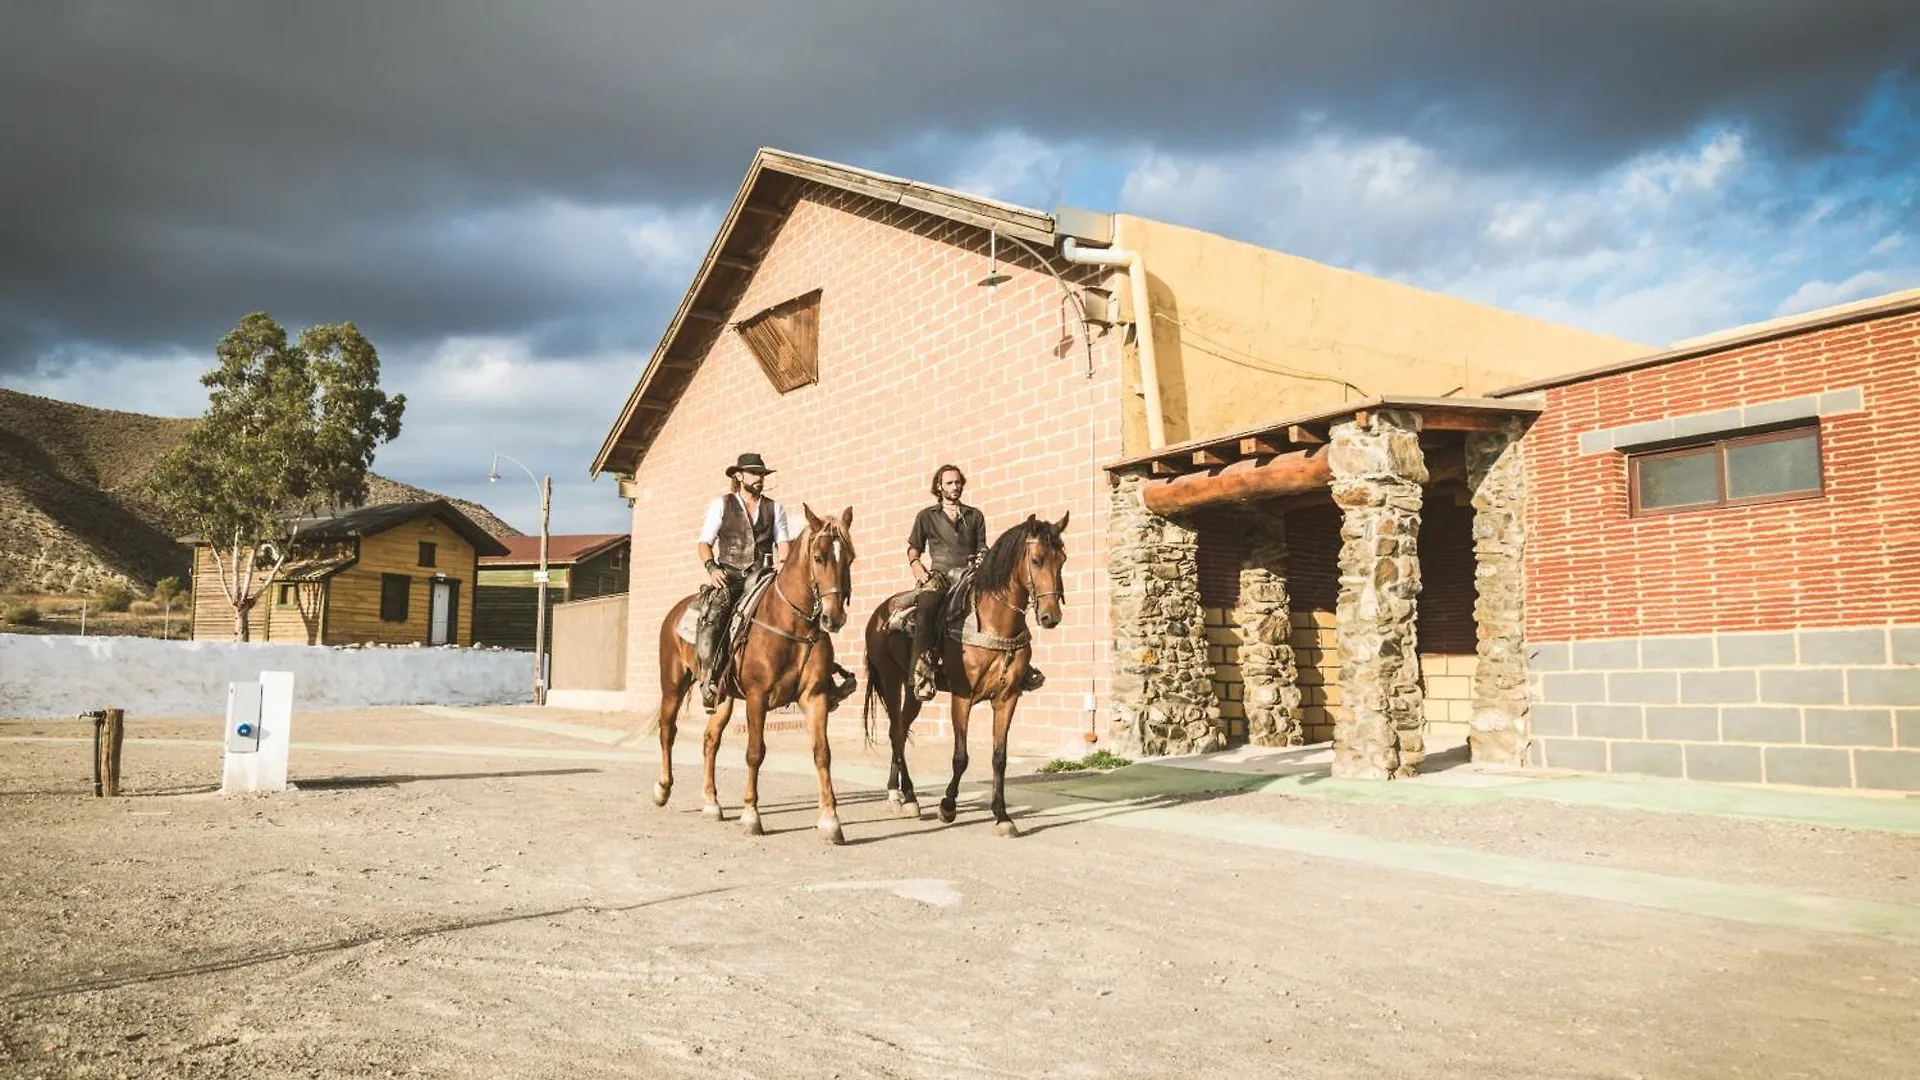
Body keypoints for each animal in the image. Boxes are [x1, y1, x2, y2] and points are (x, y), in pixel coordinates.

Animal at [648, 503, 852, 841]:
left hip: (722, 697)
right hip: (673, 684)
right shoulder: (758, 697)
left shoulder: (816, 696)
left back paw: (711, 803)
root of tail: (676, 611)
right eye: (818, 557)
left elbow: (822, 753)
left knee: (710, 740)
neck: (791, 626)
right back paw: (663, 789)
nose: (833, 618)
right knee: (668, 730)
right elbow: (755, 752)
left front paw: (830, 821)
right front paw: (751, 815)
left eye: (849, 557)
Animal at [867, 511, 1075, 834]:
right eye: (1037, 560)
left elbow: (999, 758)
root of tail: (879, 614)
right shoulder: (962, 697)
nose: (1050, 617)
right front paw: (947, 806)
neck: (993, 622)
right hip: (890, 680)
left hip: (913, 690)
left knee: (899, 731)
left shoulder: (1007, 698)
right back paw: (902, 796)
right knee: (895, 733)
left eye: (1062, 559)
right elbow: (960, 757)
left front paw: (1002, 816)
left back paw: (904, 795)